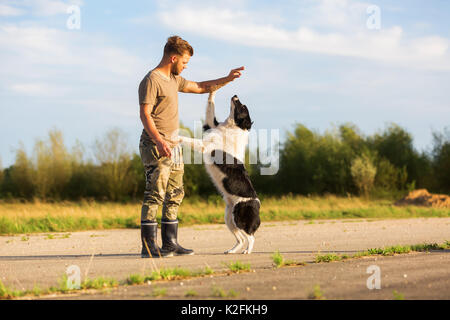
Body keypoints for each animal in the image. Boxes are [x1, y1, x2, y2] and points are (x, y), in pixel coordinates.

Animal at [179, 91, 260, 254]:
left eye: (242, 107)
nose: (235, 95)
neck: (232, 126)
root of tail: (257, 204)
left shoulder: (205, 145)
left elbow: (188, 139)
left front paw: (175, 137)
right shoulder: (210, 124)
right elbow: (210, 107)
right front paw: (213, 90)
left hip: (239, 218)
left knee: (250, 237)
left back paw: (247, 251)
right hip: (229, 218)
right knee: (241, 239)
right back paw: (232, 251)